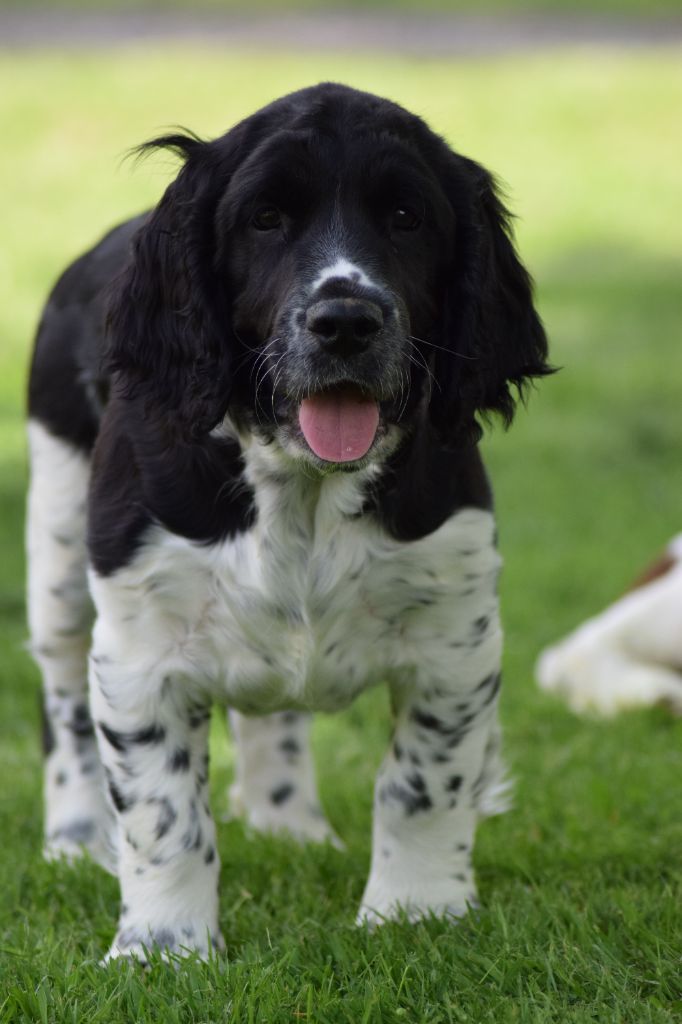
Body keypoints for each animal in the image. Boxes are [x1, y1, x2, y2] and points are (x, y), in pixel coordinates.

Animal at [25, 79, 548, 958]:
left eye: (406, 216)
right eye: (265, 218)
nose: (345, 320)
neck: (303, 486)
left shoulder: (456, 635)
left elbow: (423, 784)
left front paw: (416, 912)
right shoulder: (139, 649)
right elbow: (164, 811)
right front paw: (166, 948)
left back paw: (288, 825)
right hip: (59, 551)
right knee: (61, 699)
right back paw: (72, 841)